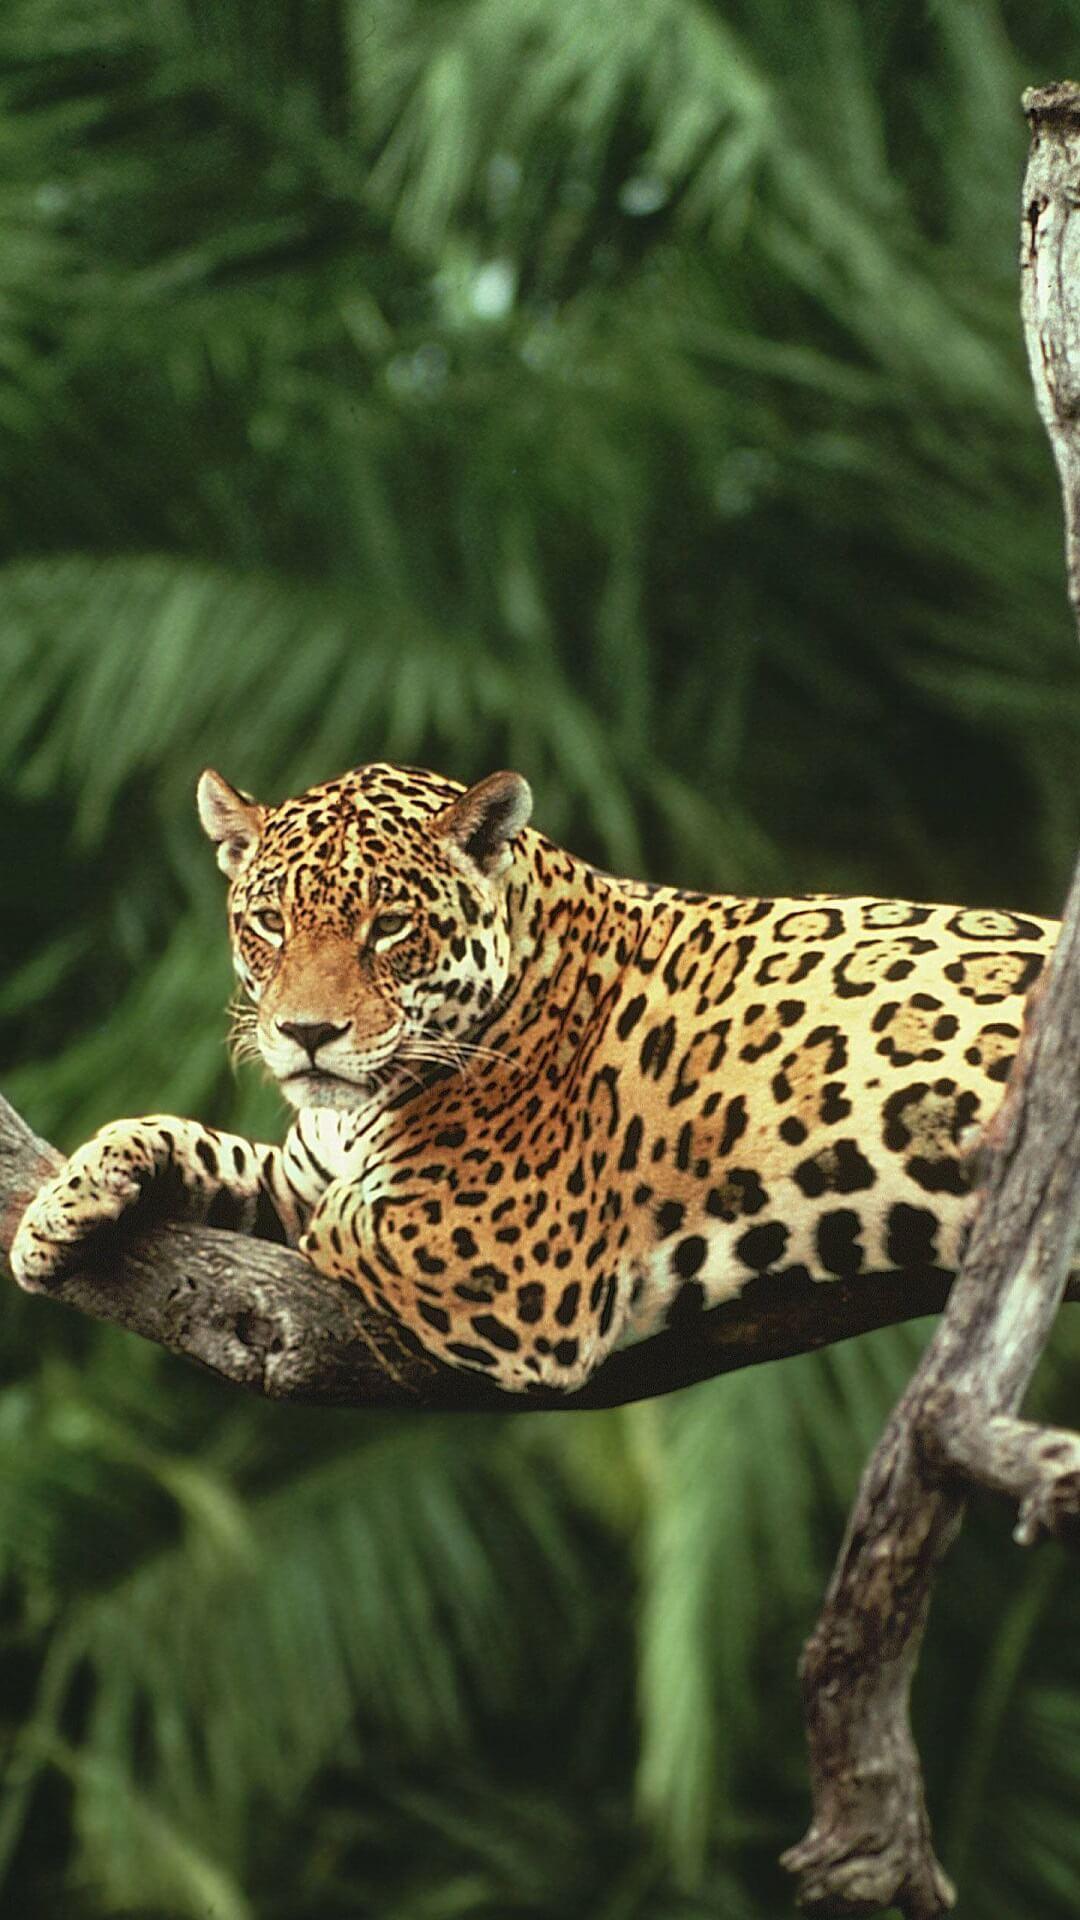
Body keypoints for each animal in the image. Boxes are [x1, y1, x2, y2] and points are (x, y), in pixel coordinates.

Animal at [10, 760, 1062, 1393]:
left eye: (389, 926)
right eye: (270, 922)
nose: (306, 1033)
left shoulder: (509, 1254)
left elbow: (338, 1223)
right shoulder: (305, 1165)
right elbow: (192, 1142)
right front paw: (57, 1212)